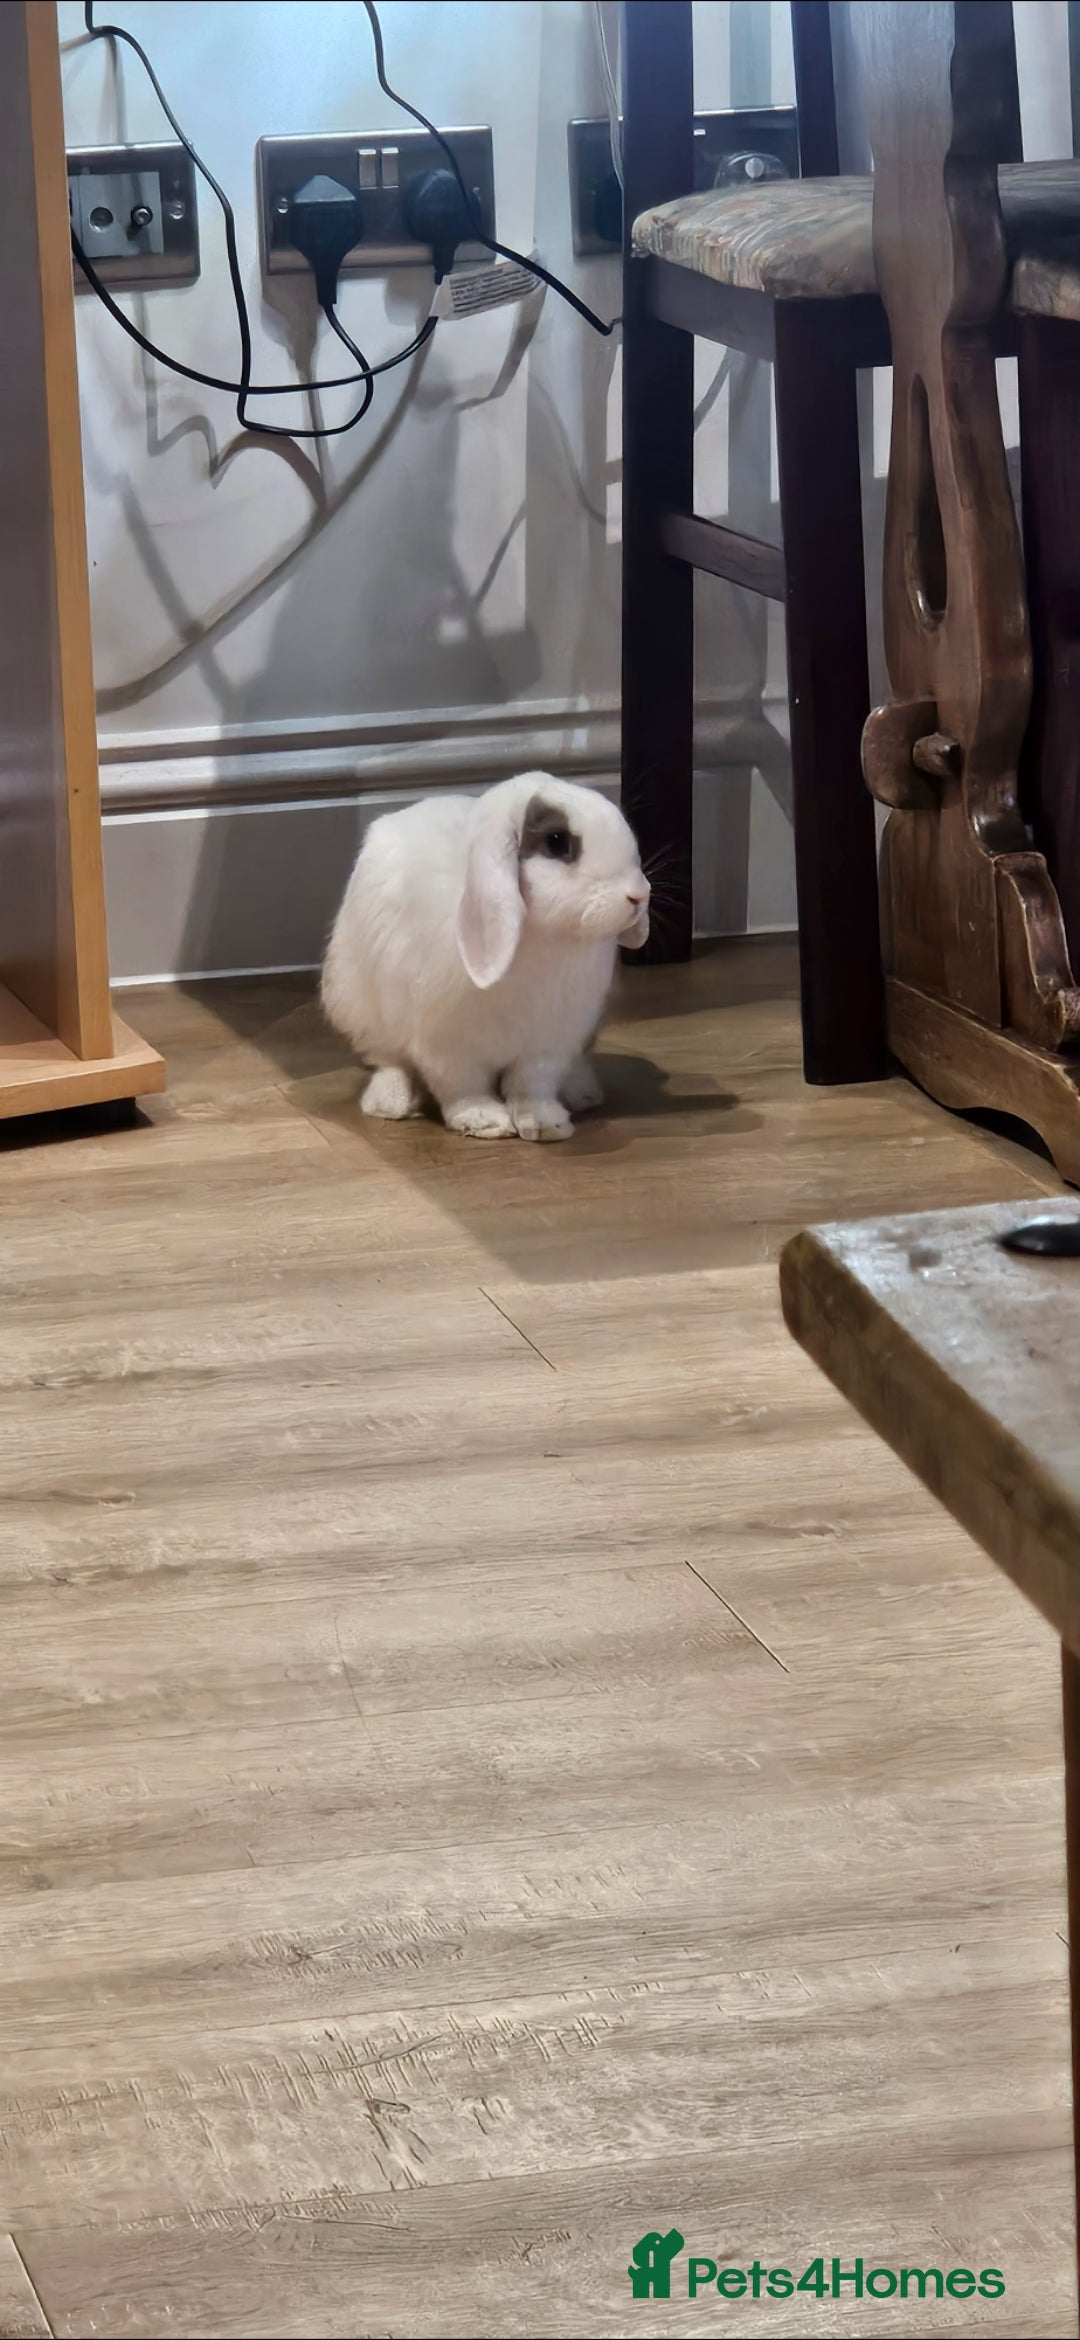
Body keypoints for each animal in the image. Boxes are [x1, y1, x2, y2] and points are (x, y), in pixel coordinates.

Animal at [321, 772, 650, 1140]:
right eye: (556, 841)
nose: (639, 895)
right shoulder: (448, 1044)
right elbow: (464, 1086)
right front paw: (485, 1121)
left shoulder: (551, 1040)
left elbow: (532, 1085)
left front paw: (547, 1125)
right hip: (360, 1010)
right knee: (389, 1061)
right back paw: (393, 1103)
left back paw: (582, 1093)